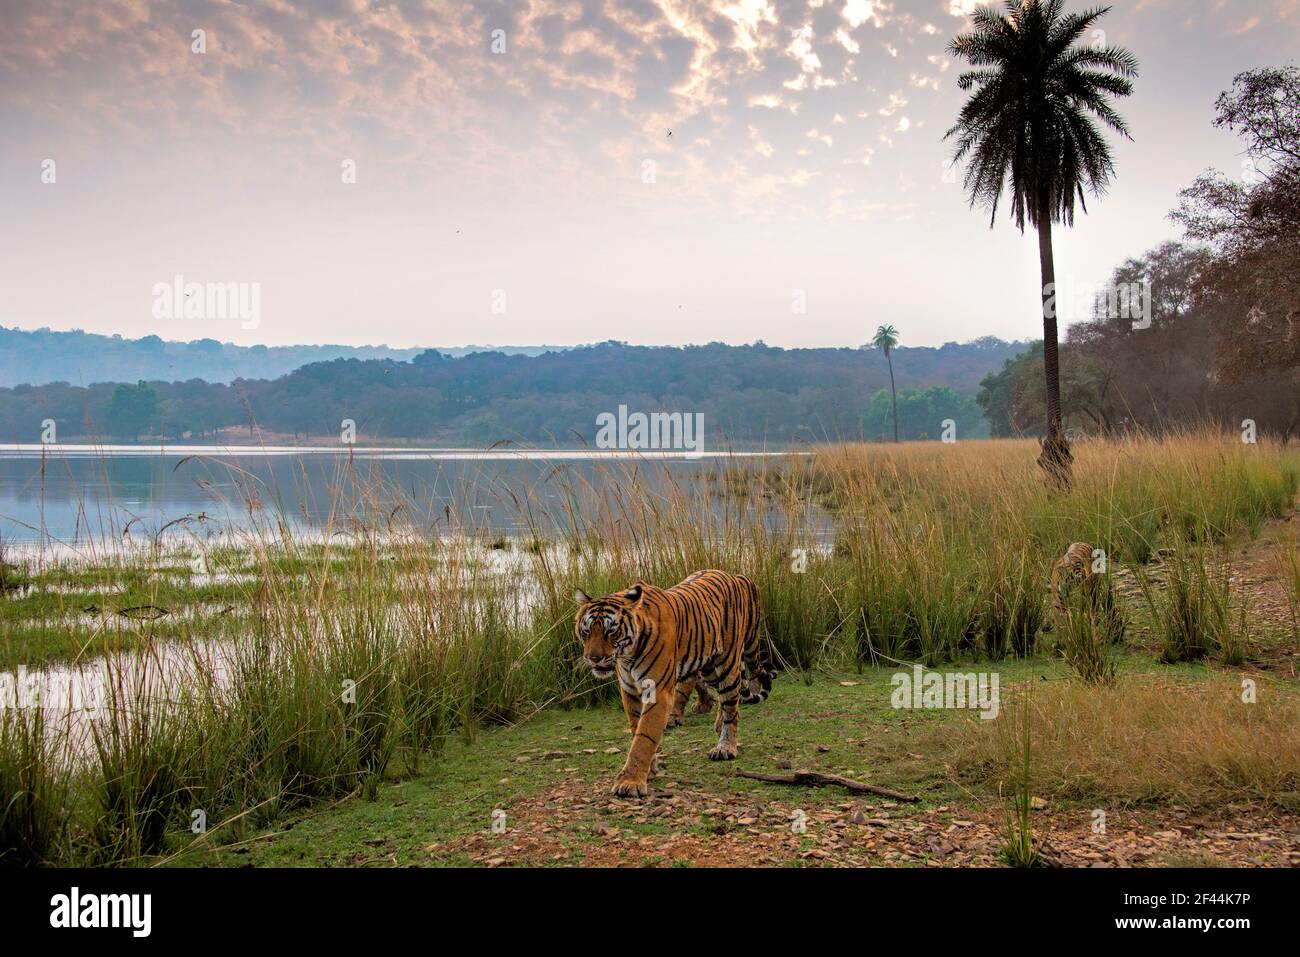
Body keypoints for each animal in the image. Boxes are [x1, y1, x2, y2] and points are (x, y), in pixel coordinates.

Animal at [572, 566, 769, 800]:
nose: (593, 658)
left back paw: (725, 746)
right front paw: (650, 768)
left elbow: (644, 737)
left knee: (733, 703)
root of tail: (733, 575)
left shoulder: (657, 690)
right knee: (728, 695)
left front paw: (630, 782)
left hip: (728, 662)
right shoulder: (629, 691)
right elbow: (637, 728)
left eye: (611, 631)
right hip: (709, 668)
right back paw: (718, 723)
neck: (627, 655)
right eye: (586, 631)